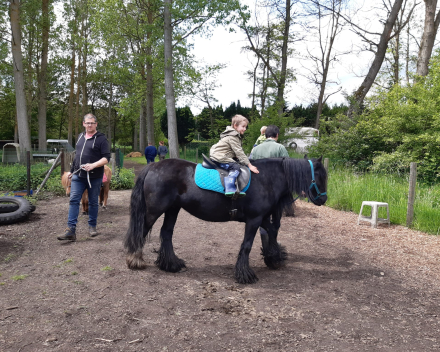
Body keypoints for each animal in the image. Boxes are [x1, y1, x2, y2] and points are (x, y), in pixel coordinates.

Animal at [124, 156, 326, 284]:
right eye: (321, 177)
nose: (323, 199)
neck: (265, 178)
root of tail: (153, 167)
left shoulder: (261, 218)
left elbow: (272, 231)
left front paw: (274, 257)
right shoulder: (254, 219)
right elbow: (247, 245)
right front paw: (245, 275)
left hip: (173, 209)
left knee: (166, 233)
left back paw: (171, 264)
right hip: (154, 211)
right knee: (141, 231)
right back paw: (135, 260)